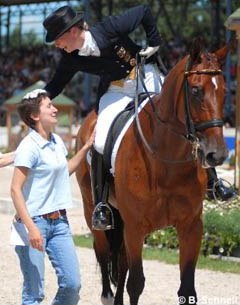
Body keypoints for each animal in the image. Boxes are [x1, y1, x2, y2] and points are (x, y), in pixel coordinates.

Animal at [75, 38, 229, 304]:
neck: (166, 160)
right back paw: (107, 295)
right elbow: (136, 284)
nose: (216, 154)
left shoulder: (191, 227)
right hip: (93, 211)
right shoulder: (136, 227)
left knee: (121, 263)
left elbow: (187, 289)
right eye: (196, 91)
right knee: (104, 254)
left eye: (224, 91)